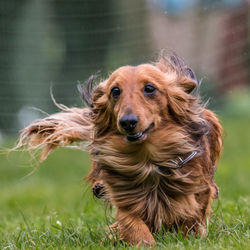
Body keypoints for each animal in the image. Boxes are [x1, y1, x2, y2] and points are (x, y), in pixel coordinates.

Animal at [16, 52, 224, 246]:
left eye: (149, 88)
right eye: (115, 91)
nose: (127, 122)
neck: (148, 159)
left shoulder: (197, 191)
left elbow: (194, 217)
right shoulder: (126, 201)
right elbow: (135, 227)